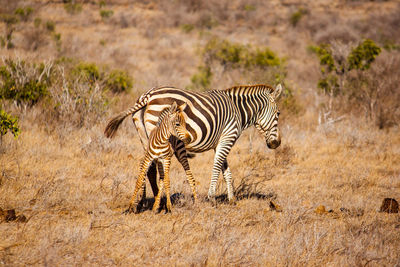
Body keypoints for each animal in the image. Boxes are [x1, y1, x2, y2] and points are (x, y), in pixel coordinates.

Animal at [104, 85, 282, 204]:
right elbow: (217, 167)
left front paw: (231, 199)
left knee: (148, 168)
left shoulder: (221, 141)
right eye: (278, 113)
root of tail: (147, 96)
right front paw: (211, 197)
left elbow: (226, 170)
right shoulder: (228, 137)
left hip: (145, 136)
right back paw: (158, 200)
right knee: (156, 167)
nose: (277, 143)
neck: (238, 111)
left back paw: (147, 201)